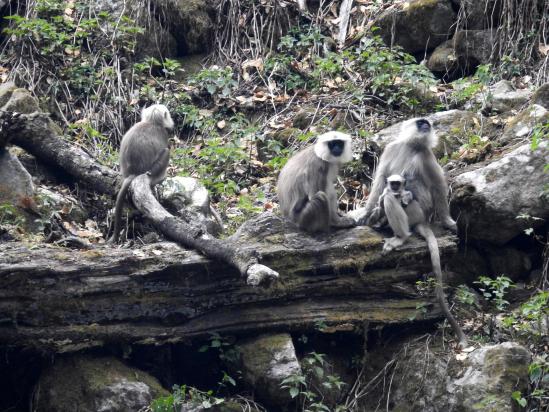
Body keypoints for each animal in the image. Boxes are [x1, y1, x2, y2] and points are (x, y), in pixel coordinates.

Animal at [360, 119, 466, 348]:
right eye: (421, 124)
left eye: (427, 124)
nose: (426, 127)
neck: (412, 146)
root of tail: (422, 220)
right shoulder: (392, 147)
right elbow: (380, 178)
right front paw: (365, 212)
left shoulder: (426, 155)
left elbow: (437, 185)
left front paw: (448, 221)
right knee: (385, 196)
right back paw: (377, 218)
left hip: (415, 212)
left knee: (392, 198)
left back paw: (400, 236)